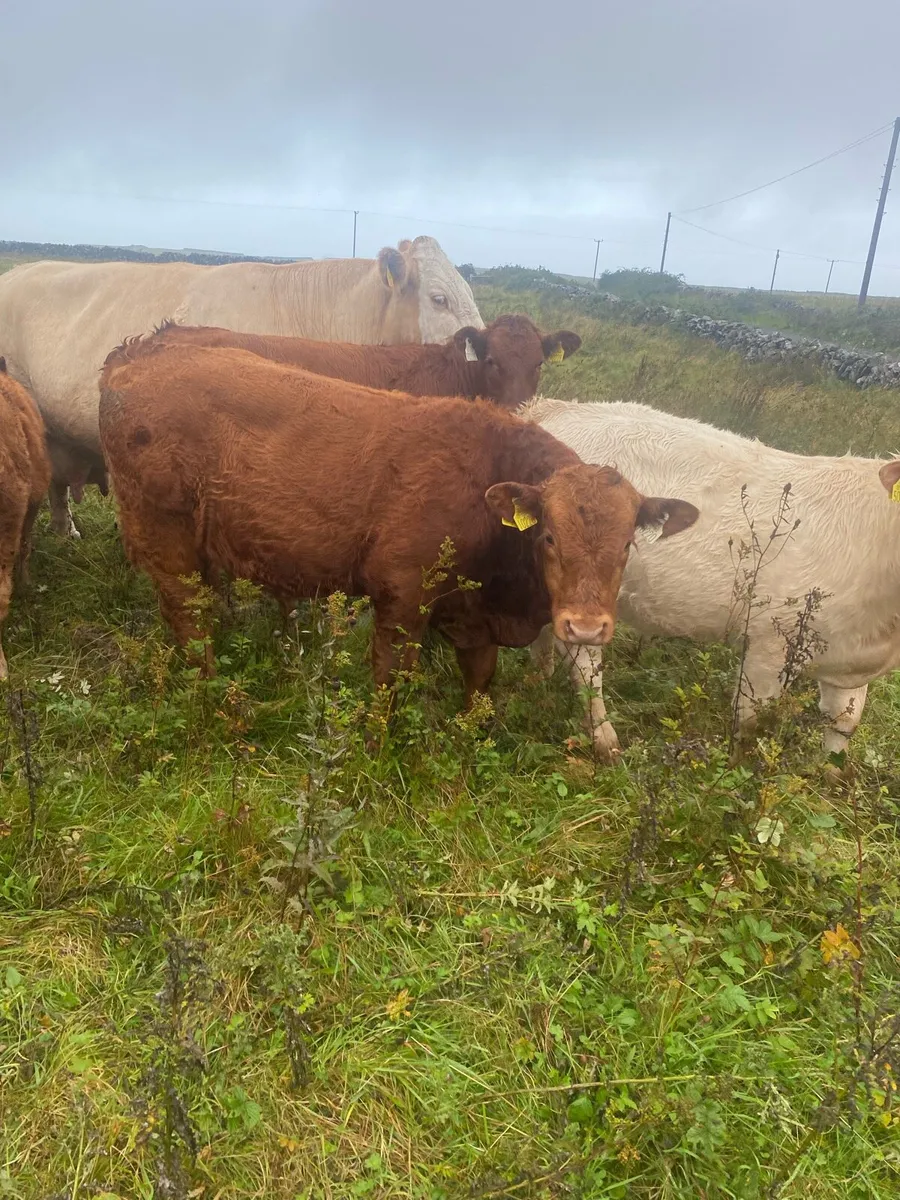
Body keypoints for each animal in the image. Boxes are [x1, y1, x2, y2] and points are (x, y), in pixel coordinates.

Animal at [98, 344, 698, 718]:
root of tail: (131, 362)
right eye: (549, 536)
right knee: (188, 619)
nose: (586, 628)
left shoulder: (474, 618)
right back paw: (217, 699)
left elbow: (479, 686)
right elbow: (389, 687)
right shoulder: (403, 598)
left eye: (627, 544)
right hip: (166, 541)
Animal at [527, 397, 900, 758]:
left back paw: (541, 682)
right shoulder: (769, 643)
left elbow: (844, 724)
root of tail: (551, 407)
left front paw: (830, 772)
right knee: (584, 663)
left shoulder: (850, 657)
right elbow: (750, 724)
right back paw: (606, 742)